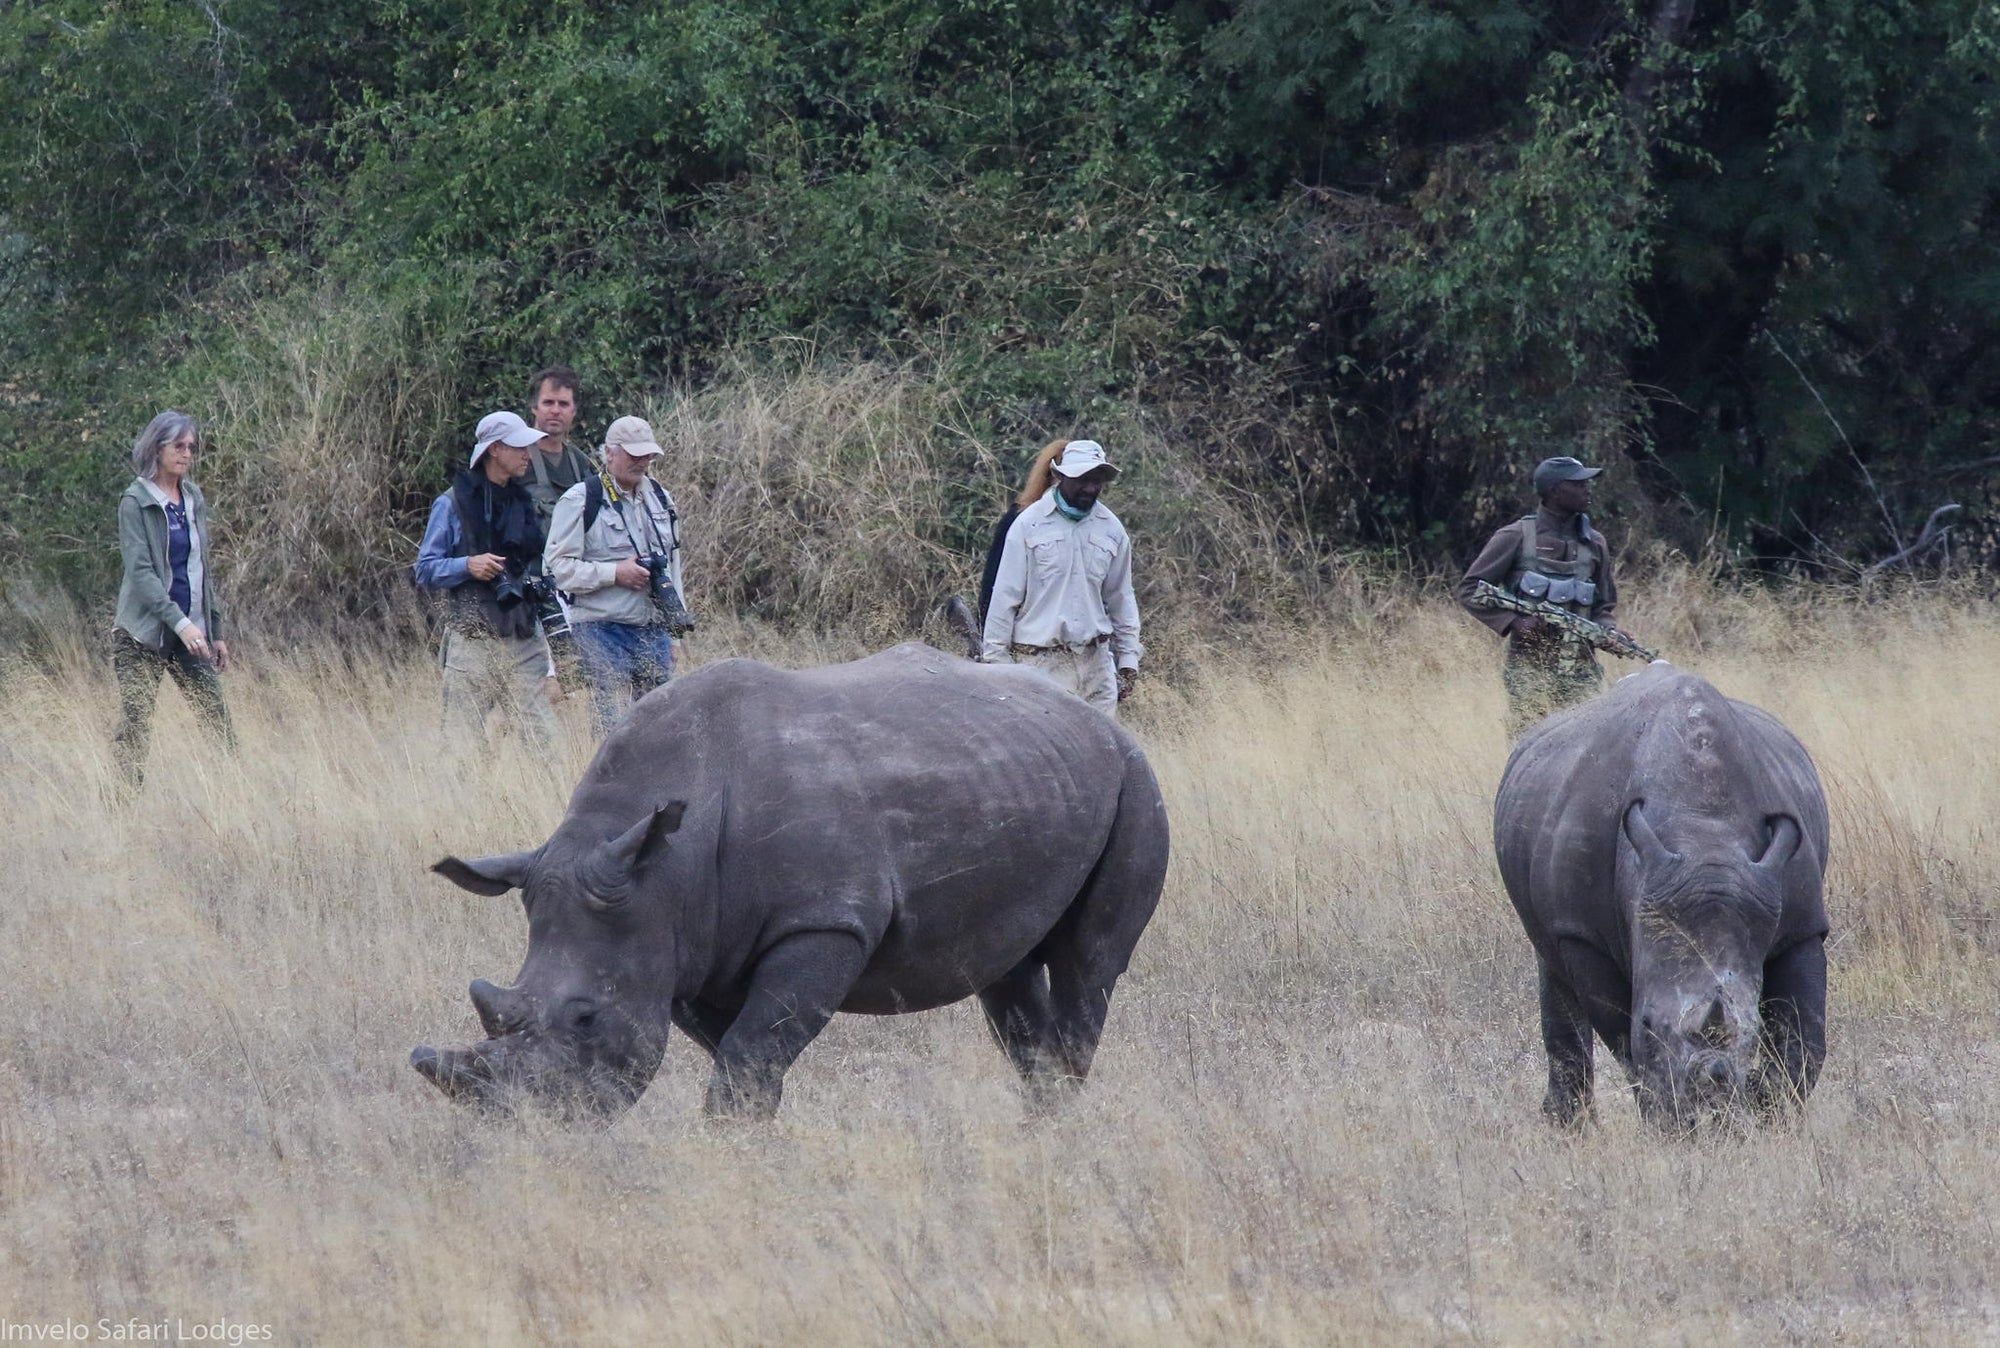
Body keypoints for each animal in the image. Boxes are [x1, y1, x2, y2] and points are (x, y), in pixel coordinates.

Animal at [411, 643, 1170, 1120]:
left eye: (585, 1018)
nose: (529, 1129)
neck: (661, 872)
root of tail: (1092, 717)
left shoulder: (825, 922)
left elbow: (749, 1056)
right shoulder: (691, 947)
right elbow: (746, 1060)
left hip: (1136, 779)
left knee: (1089, 961)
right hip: (1023, 771)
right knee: (1005, 973)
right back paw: (1041, 1126)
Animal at [1494, 663, 1830, 1129]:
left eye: (1751, 1032)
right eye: (1650, 1023)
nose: (1709, 1111)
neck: (1705, 833)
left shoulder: (1803, 923)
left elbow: (1806, 1035)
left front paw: (1770, 1111)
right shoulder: (1583, 935)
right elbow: (1622, 1034)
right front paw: (1663, 1119)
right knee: (1551, 963)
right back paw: (1568, 1126)